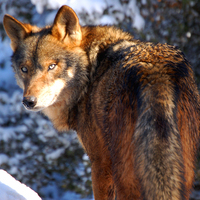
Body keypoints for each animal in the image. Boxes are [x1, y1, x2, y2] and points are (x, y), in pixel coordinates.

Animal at [3, 4, 200, 200]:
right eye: (24, 69)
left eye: (51, 66)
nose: (29, 101)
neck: (90, 74)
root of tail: (155, 73)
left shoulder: (100, 163)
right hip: (183, 171)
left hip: (125, 174)